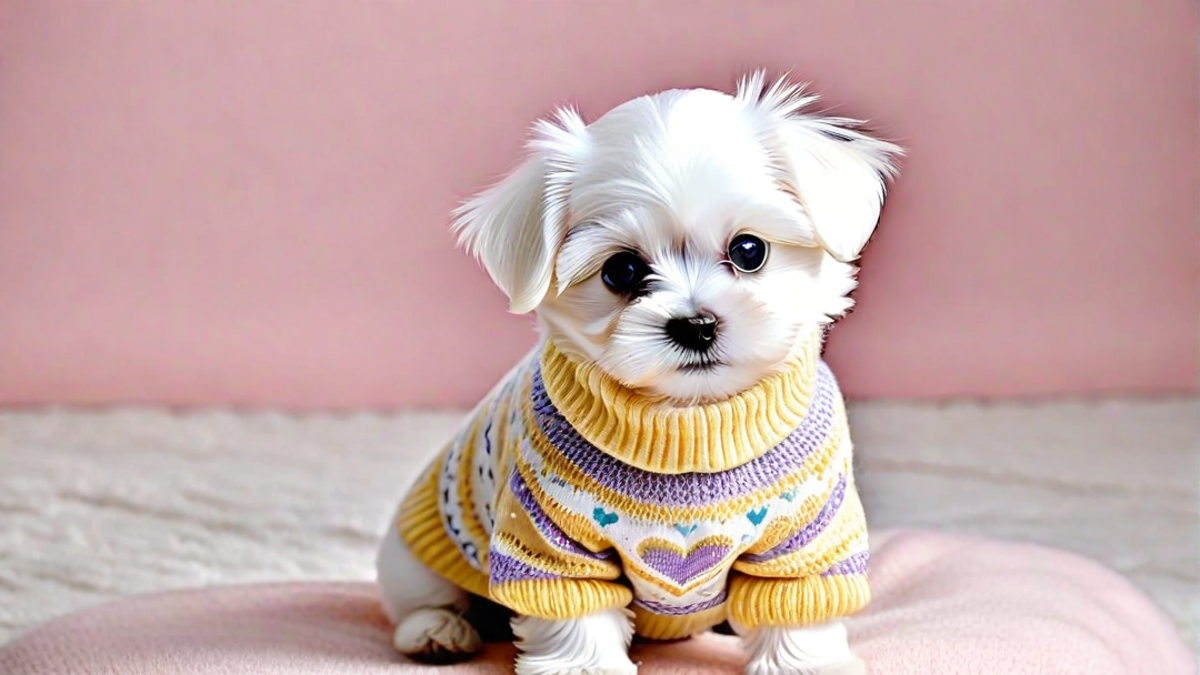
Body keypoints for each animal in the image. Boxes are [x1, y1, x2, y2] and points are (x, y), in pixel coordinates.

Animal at [374, 69, 902, 672]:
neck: (691, 424)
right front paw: (587, 666)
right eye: (622, 270)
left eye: (749, 250)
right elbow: (574, 613)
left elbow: (796, 608)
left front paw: (803, 662)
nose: (696, 324)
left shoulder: (808, 536)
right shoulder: (548, 540)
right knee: (424, 597)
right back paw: (437, 630)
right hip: (418, 550)